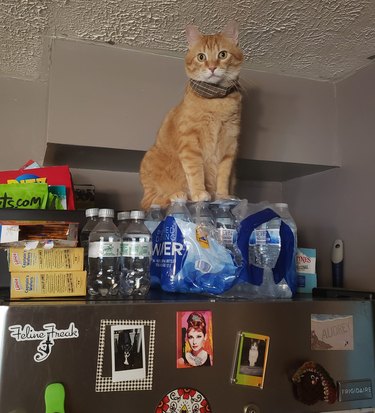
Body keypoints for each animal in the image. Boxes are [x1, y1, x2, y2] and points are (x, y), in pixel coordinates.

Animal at [140, 21, 244, 209]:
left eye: (222, 54)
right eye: (201, 57)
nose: (212, 67)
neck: (216, 102)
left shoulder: (230, 145)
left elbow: (223, 177)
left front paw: (222, 196)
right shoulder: (190, 142)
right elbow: (195, 171)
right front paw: (199, 193)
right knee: (149, 202)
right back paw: (177, 195)